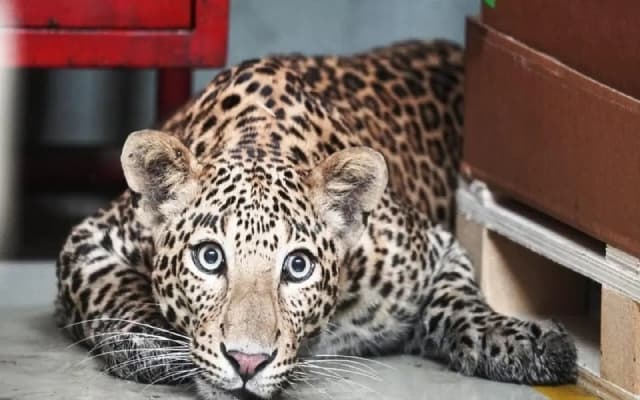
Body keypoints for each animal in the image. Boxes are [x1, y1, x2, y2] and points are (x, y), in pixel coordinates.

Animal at [56, 40, 577, 400]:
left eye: (298, 267)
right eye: (209, 258)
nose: (247, 361)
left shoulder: (436, 250)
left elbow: (461, 301)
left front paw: (526, 343)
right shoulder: (88, 242)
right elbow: (116, 291)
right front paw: (157, 346)